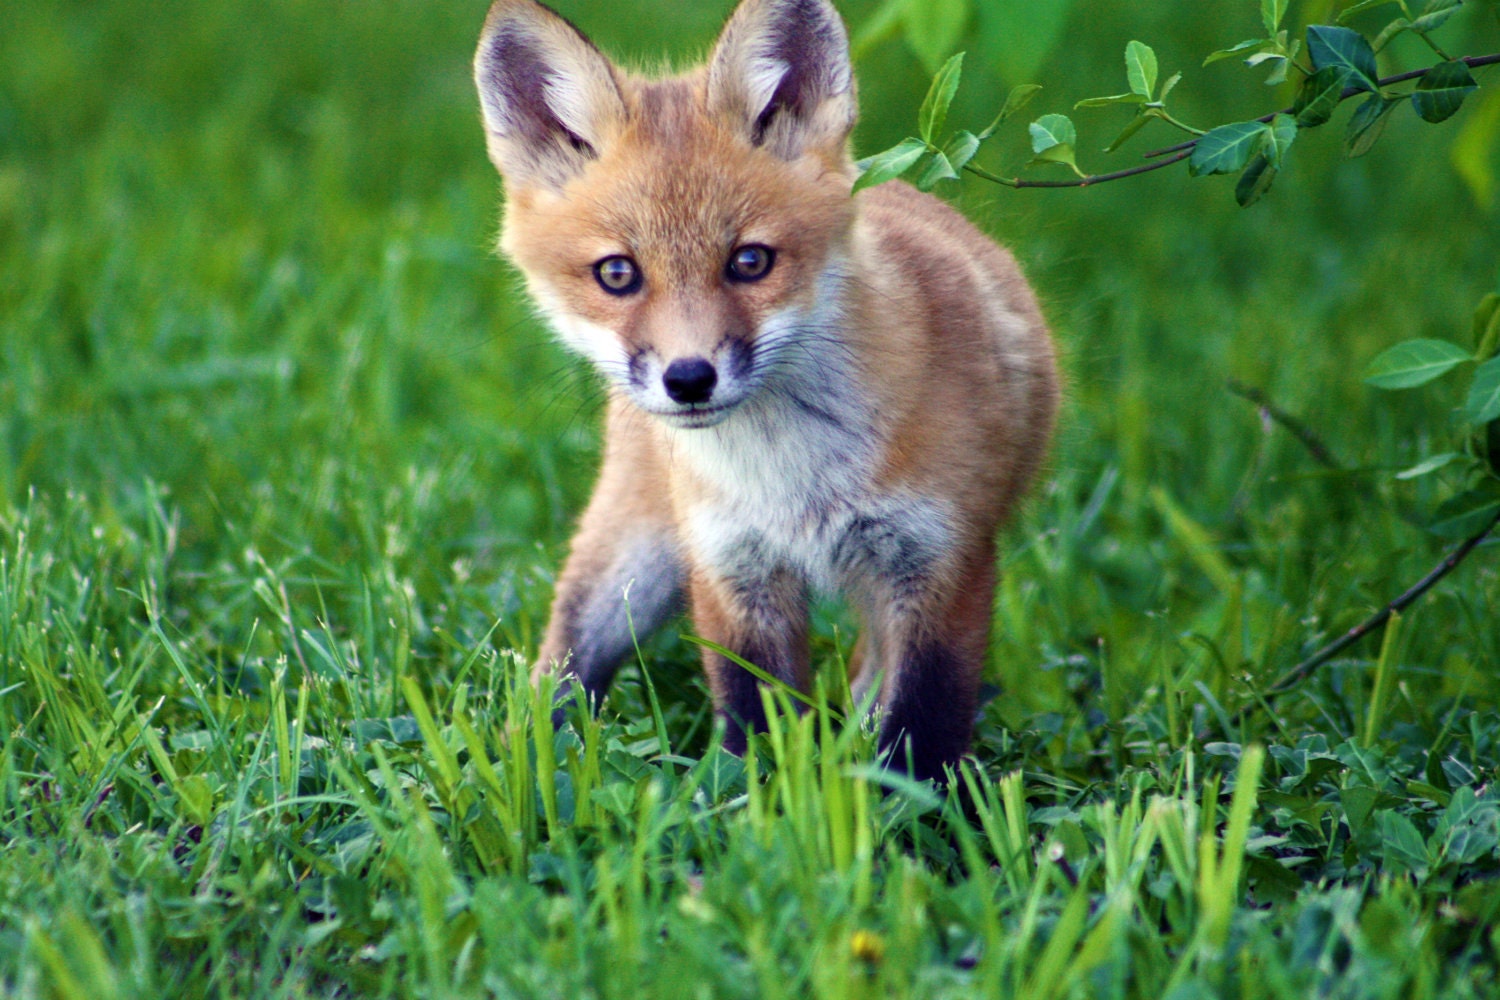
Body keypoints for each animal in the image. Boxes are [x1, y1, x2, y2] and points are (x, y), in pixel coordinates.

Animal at [473, 0, 1058, 781]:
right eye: (617, 274)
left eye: (750, 261)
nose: (689, 379)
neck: (793, 476)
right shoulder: (733, 569)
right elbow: (755, 721)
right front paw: (755, 802)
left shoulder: (944, 562)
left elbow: (922, 728)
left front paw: (923, 813)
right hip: (633, 560)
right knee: (561, 666)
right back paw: (519, 766)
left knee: (871, 675)